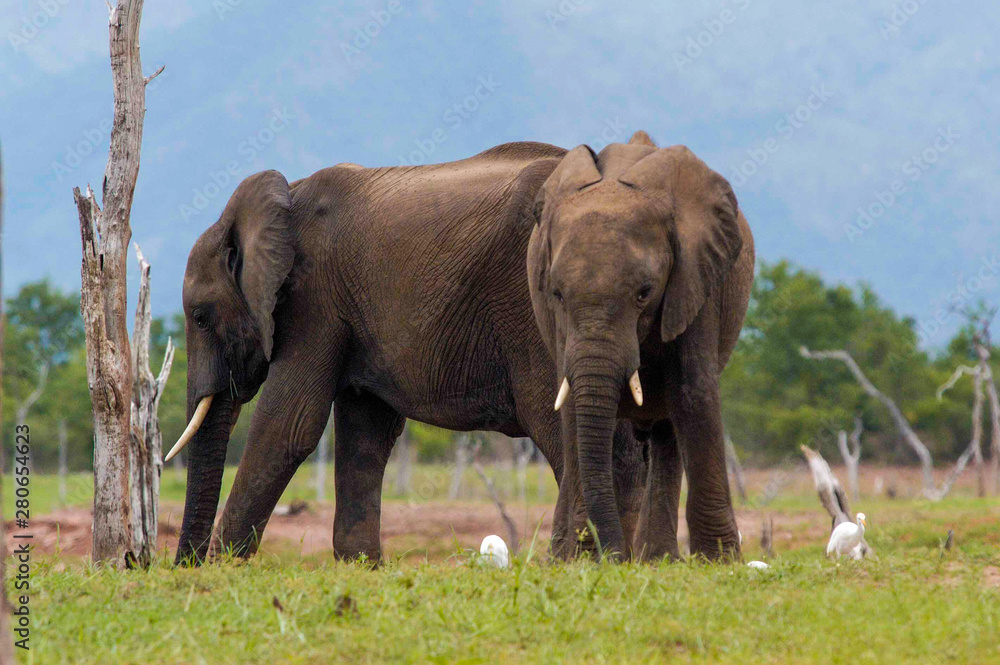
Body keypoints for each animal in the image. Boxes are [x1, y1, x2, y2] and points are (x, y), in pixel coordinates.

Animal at [169, 141, 650, 565]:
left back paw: (574, 562)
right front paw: (361, 566)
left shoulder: (313, 300)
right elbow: (365, 433)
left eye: (200, 317)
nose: (182, 566)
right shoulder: (351, 312)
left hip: (537, 311)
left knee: (559, 427)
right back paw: (612, 561)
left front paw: (223, 570)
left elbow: (288, 424)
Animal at [527, 131, 755, 560]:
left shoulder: (696, 277)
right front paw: (583, 559)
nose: (616, 557)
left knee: (669, 428)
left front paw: (720, 561)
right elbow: (572, 406)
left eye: (644, 293)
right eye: (557, 293)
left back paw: (657, 558)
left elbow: (692, 393)